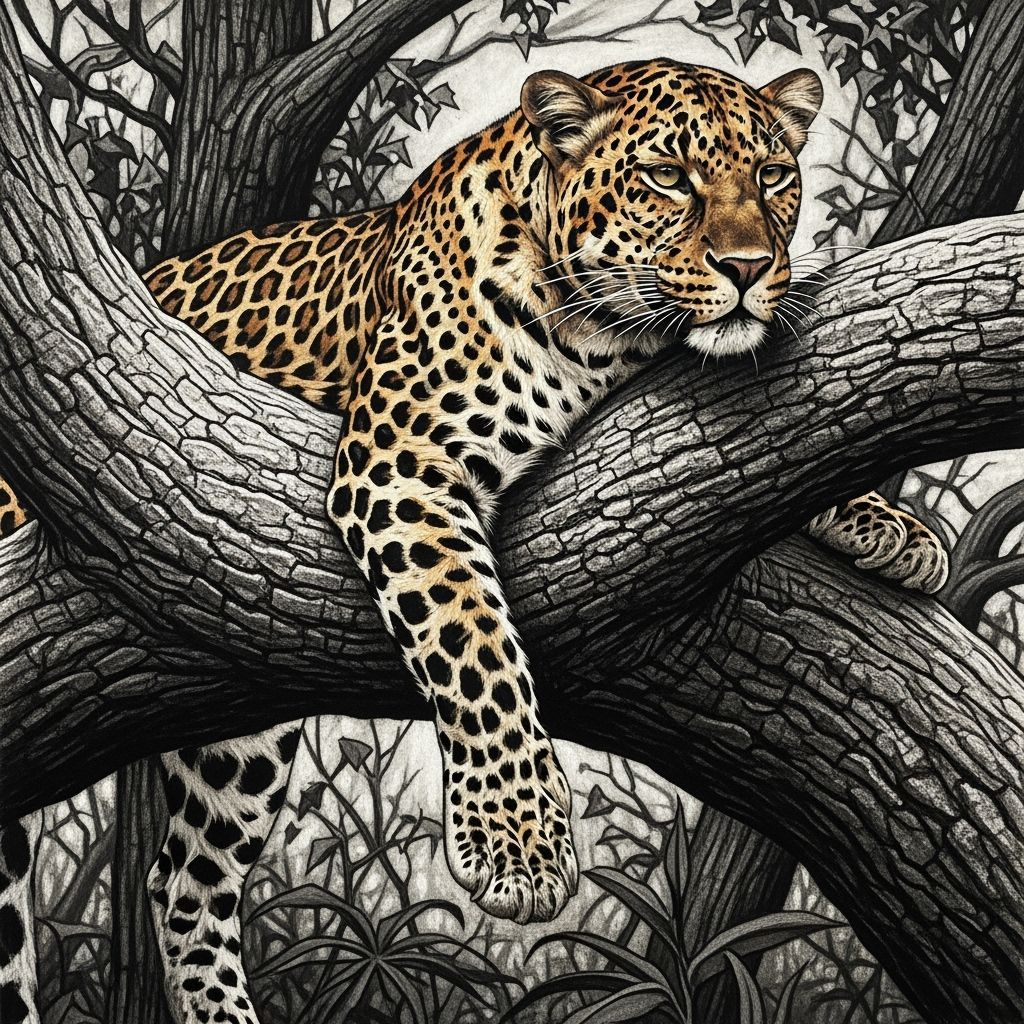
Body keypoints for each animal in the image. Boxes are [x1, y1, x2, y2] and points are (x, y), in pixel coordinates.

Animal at [0, 58, 948, 1024]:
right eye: (667, 178)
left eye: (773, 177)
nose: (750, 268)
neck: (609, 344)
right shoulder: (401, 466)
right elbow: (476, 646)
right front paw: (517, 844)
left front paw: (891, 526)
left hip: (243, 739)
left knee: (185, 880)